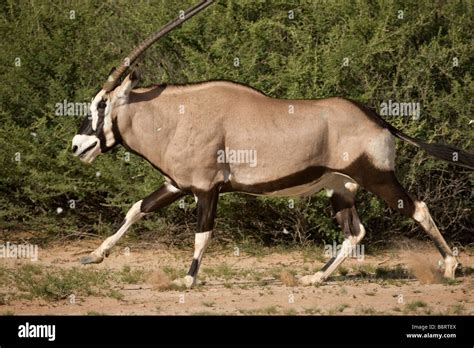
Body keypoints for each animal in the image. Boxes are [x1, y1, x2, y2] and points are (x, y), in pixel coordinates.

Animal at [71, 0, 474, 288]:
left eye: (102, 104)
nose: (77, 146)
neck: (178, 117)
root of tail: (379, 119)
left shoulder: (207, 188)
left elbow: (202, 234)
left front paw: (186, 279)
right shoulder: (176, 184)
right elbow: (136, 209)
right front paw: (93, 256)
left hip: (377, 177)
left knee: (417, 208)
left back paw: (450, 265)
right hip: (340, 187)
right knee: (354, 231)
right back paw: (314, 277)